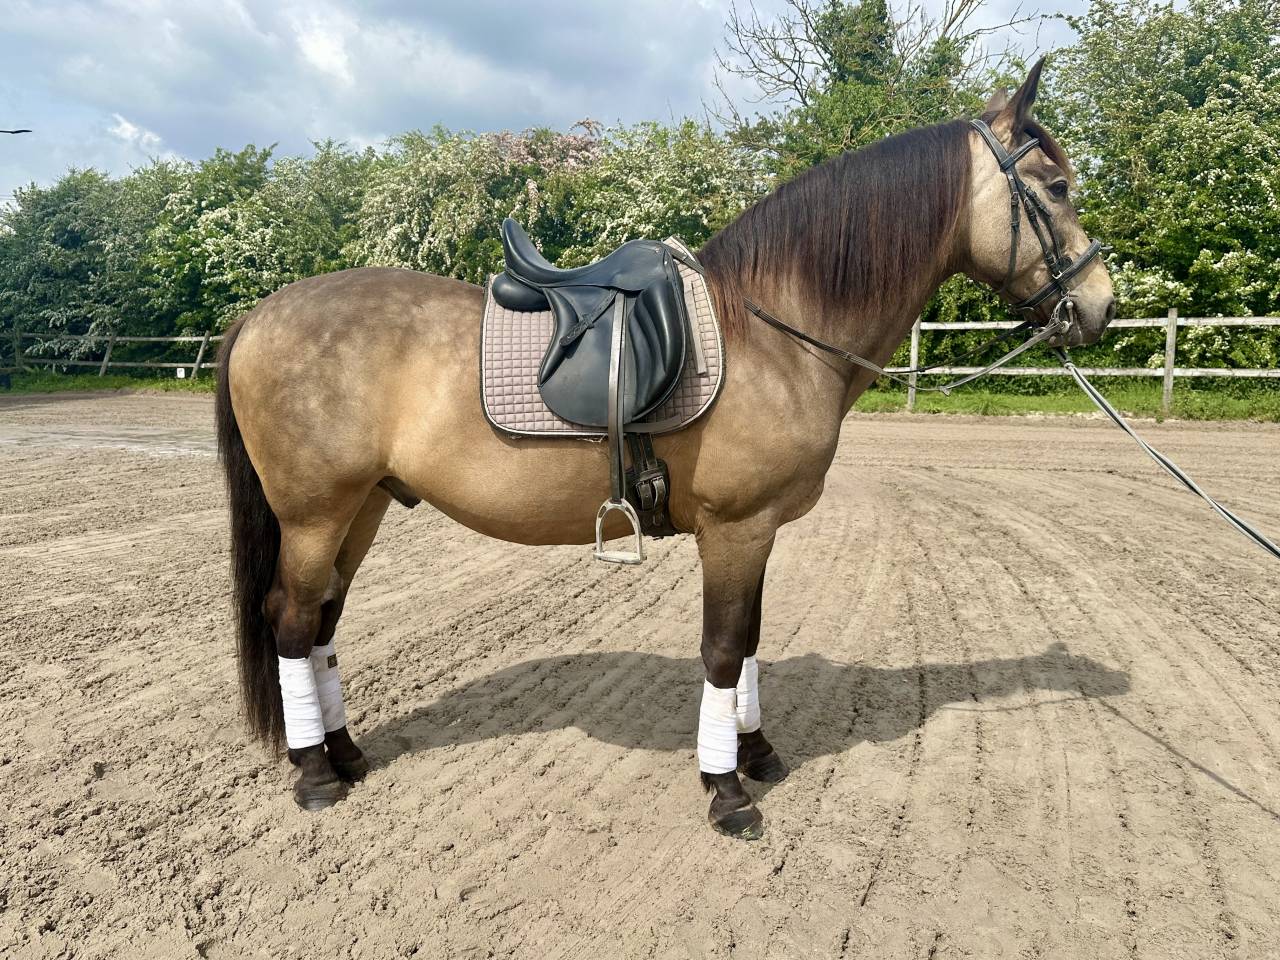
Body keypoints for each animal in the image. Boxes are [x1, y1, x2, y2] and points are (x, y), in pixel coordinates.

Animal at [215, 60, 1115, 839]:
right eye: (1058, 187)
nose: (1101, 307)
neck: (775, 331)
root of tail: (258, 314)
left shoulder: (758, 531)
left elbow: (748, 644)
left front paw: (756, 753)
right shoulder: (736, 527)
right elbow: (722, 650)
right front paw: (726, 790)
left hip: (362, 507)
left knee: (324, 620)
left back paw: (346, 753)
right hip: (316, 513)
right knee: (291, 620)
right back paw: (315, 774)